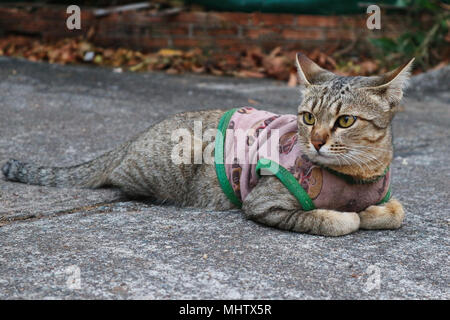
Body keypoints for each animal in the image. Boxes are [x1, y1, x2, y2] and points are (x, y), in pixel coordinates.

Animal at [1, 53, 414, 236]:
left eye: (345, 121)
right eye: (309, 117)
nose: (315, 141)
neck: (355, 176)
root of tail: (134, 137)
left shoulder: (386, 194)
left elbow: (396, 211)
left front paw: (372, 211)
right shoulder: (262, 204)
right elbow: (331, 220)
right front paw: (348, 216)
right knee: (119, 178)